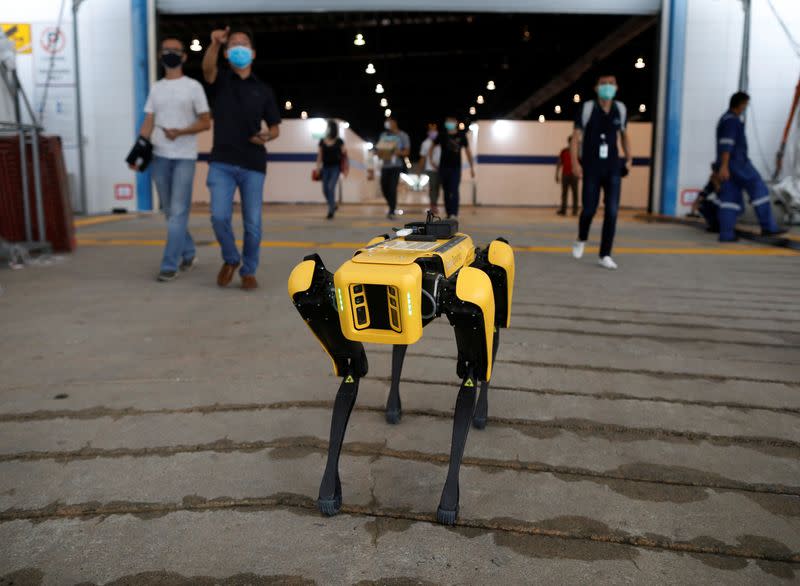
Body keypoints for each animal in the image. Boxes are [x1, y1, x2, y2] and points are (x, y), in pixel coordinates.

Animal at [288, 212, 512, 524]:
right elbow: (352, 373)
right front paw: (329, 491)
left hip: (489, 274)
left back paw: (481, 413)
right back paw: (393, 407)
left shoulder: (469, 299)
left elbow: (472, 373)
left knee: (493, 335)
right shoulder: (316, 295)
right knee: (398, 351)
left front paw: (448, 501)